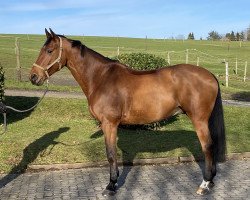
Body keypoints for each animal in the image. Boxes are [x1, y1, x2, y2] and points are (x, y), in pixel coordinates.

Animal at [29, 28, 227, 196]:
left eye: (49, 51)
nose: (33, 77)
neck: (101, 78)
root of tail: (210, 75)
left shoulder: (109, 124)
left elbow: (110, 154)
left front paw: (111, 186)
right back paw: (211, 182)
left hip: (199, 120)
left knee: (208, 147)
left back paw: (204, 185)